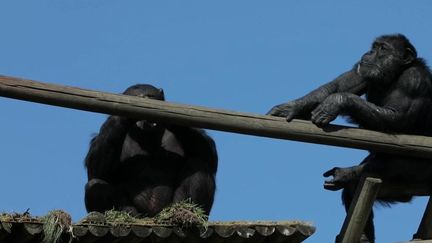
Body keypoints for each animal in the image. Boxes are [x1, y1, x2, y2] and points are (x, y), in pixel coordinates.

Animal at [84, 84, 218, 216]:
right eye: (135, 98)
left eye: (151, 97)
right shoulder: (104, 130)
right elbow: (98, 171)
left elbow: (208, 154)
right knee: (95, 184)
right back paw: (125, 213)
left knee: (198, 166)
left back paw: (185, 210)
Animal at [266, 33, 432, 242]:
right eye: (374, 47)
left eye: (383, 48)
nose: (370, 52)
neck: (395, 73)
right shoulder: (361, 69)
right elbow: (341, 84)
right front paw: (292, 107)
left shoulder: (414, 81)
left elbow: (397, 117)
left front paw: (337, 102)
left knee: (390, 165)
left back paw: (347, 173)